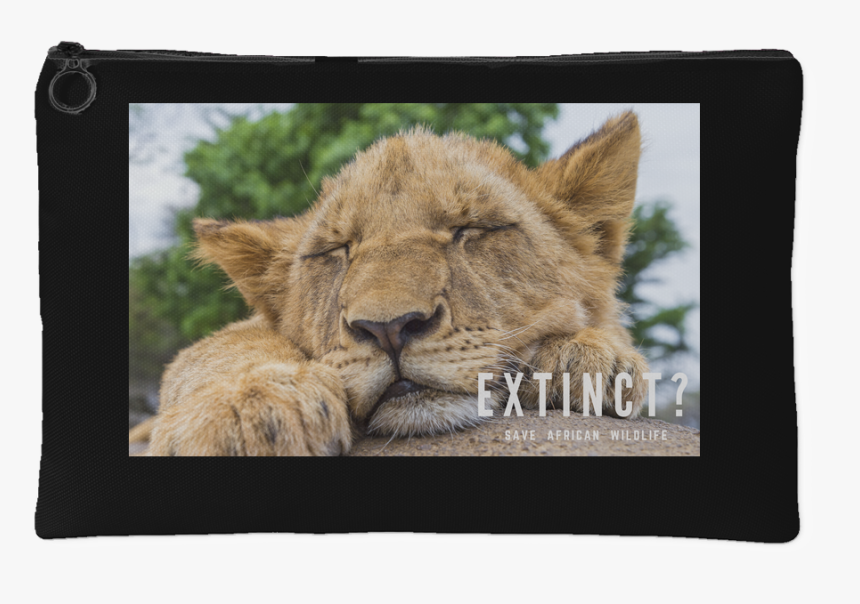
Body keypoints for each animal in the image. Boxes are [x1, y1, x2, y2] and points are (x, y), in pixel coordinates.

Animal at [138, 111, 649, 456]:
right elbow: (221, 346)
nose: (388, 329)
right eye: (335, 251)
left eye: (471, 228)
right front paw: (247, 410)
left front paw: (593, 359)